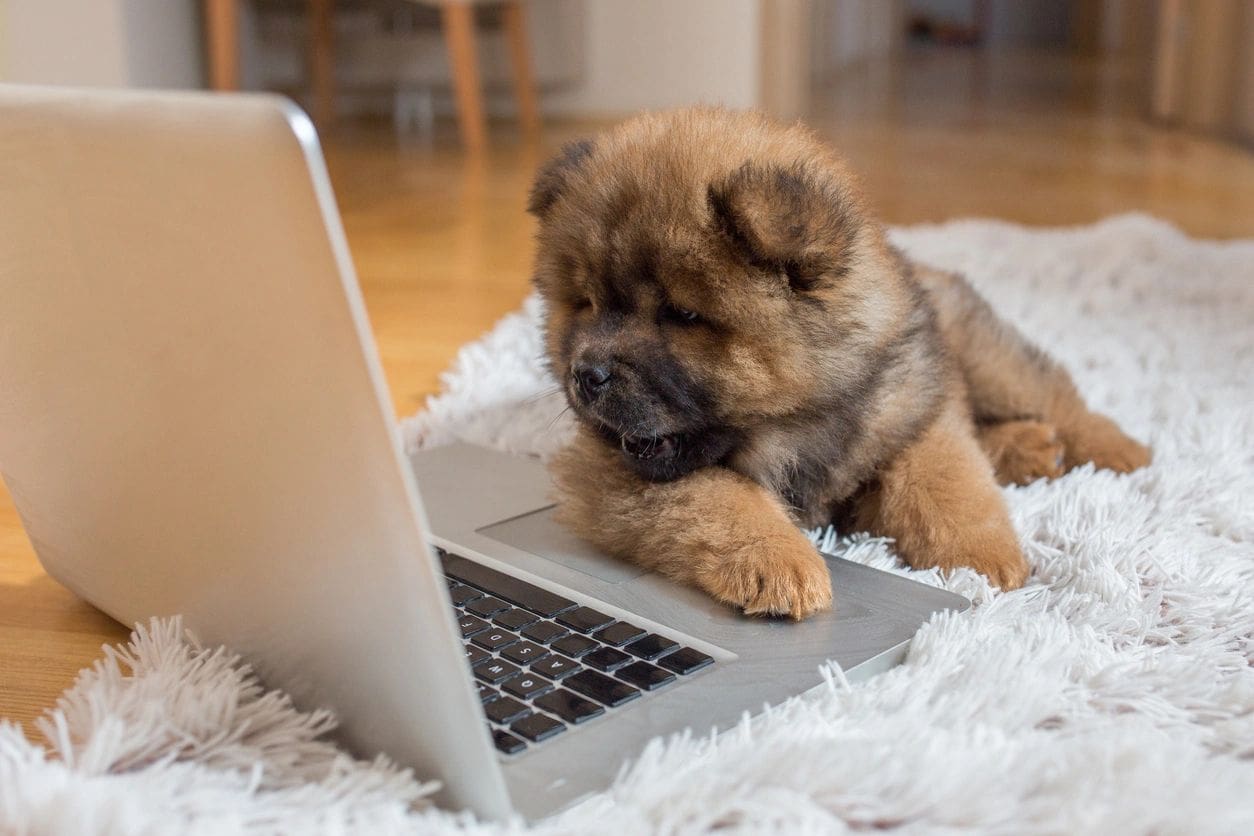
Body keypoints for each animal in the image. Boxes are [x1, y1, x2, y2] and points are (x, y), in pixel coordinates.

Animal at [524, 106, 1148, 621]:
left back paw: (1115, 450)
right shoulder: (608, 470)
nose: (586, 375)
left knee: (1054, 395)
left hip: (984, 355)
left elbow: (944, 478)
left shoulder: (914, 400)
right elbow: (716, 496)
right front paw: (781, 561)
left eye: (681, 314)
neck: (794, 426)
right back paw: (1034, 449)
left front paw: (982, 559)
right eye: (586, 303)